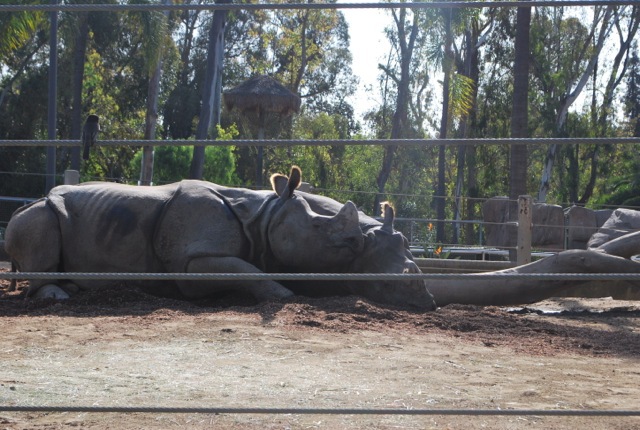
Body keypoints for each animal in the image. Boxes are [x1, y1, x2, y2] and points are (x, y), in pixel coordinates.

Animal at [5, 166, 437, 310]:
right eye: (342, 241)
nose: (427, 299)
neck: (266, 215)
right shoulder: (192, 262)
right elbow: (245, 271)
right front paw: (284, 295)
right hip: (35, 213)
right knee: (40, 224)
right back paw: (60, 296)